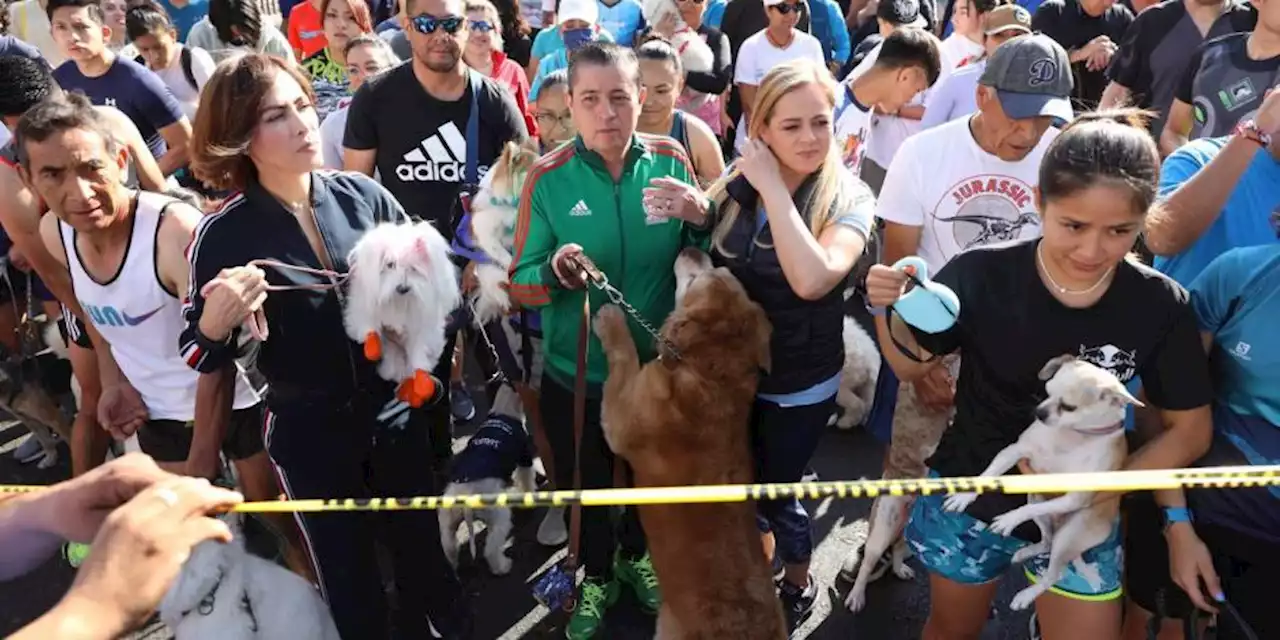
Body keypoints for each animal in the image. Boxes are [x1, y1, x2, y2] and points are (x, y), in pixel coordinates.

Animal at [343, 222, 458, 407]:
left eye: (413, 269)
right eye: (390, 264)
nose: (403, 288)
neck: (398, 300)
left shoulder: (420, 331)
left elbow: (419, 354)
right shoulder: (362, 310)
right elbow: (369, 328)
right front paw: (372, 347)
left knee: (415, 367)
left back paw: (419, 387)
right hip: (393, 355)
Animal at [593, 247, 783, 640]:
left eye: (696, 279)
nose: (694, 248)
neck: (711, 373)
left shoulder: (618, 417)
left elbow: (624, 355)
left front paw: (612, 319)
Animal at [936, 355, 1136, 609]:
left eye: (1068, 407)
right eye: (1047, 391)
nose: (1039, 412)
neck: (1071, 435)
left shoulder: (1072, 498)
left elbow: (1022, 511)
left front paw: (1008, 520)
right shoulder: (1013, 452)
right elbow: (988, 475)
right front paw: (964, 497)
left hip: (1068, 535)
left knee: (1054, 574)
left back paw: (1026, 595)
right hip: (1041, 510)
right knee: (1046, 541)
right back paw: (1025, 552)